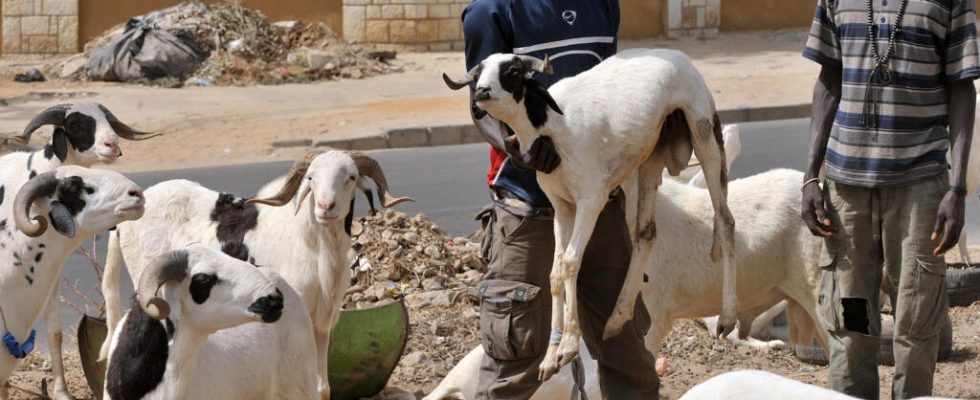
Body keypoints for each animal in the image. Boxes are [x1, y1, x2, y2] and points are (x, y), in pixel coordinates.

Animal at [0, 102, 157, 400]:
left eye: (106, 119)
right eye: (74, 124)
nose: (112, 144)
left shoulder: (52, 274)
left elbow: (55, 332)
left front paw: (61, 391)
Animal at [444, 47, 736, 378]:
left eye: (514, 71)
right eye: (478, 73)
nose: (481, 92)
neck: (553, 126)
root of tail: (677, 56)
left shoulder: (591, 198)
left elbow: (571, 262)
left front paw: (570, 345)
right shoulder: (561, 205)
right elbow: (555, 272)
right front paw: (550, 356)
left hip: (704, 133)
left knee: (725, 220)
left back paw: (727, 317)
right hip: (651, 155)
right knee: (647, 233)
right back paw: (617, 317)